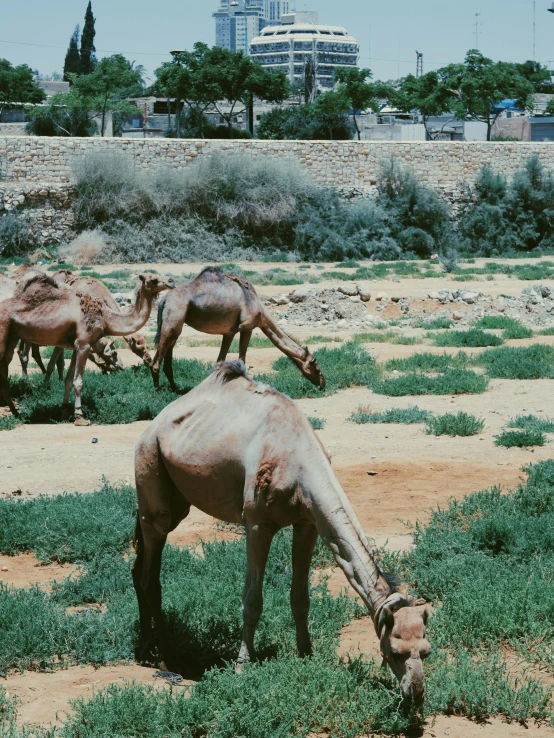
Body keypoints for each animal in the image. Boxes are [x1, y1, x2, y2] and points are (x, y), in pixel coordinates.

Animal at [0, 270, 174, 422]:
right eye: (153, 279)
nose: (171, 281)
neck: (105, 317)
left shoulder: (75, 346)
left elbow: (69, 380)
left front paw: (65, 410)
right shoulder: (84, 344)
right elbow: (78, 382)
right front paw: (79, 416)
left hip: (12, 337)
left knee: (5, 366)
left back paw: (16, 412)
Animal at [132, 360, 430, 704]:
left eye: (426, 651)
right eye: (394, 651)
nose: (415, 692)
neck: (300, 461)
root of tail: (154, 424)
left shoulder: (308, 522)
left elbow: (300, 597)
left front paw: (306, 655)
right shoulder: (257, 523)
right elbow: (252, 600)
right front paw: (242, 665)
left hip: (177, 497)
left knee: (139, 564)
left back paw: (147, 645)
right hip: (150, 466)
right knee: (151, 564)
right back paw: (166, 658)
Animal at [150, 264, 324, 392]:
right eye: (315, 365)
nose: (323, 383)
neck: (260, 310)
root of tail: (164, 300)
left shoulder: (229, 332)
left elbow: (220, 359)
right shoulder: (247, 327)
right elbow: (242, 359)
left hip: (173, 325)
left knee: (169, 352)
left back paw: (174, 388)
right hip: (173, 319)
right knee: (156, 360)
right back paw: (158, 390)